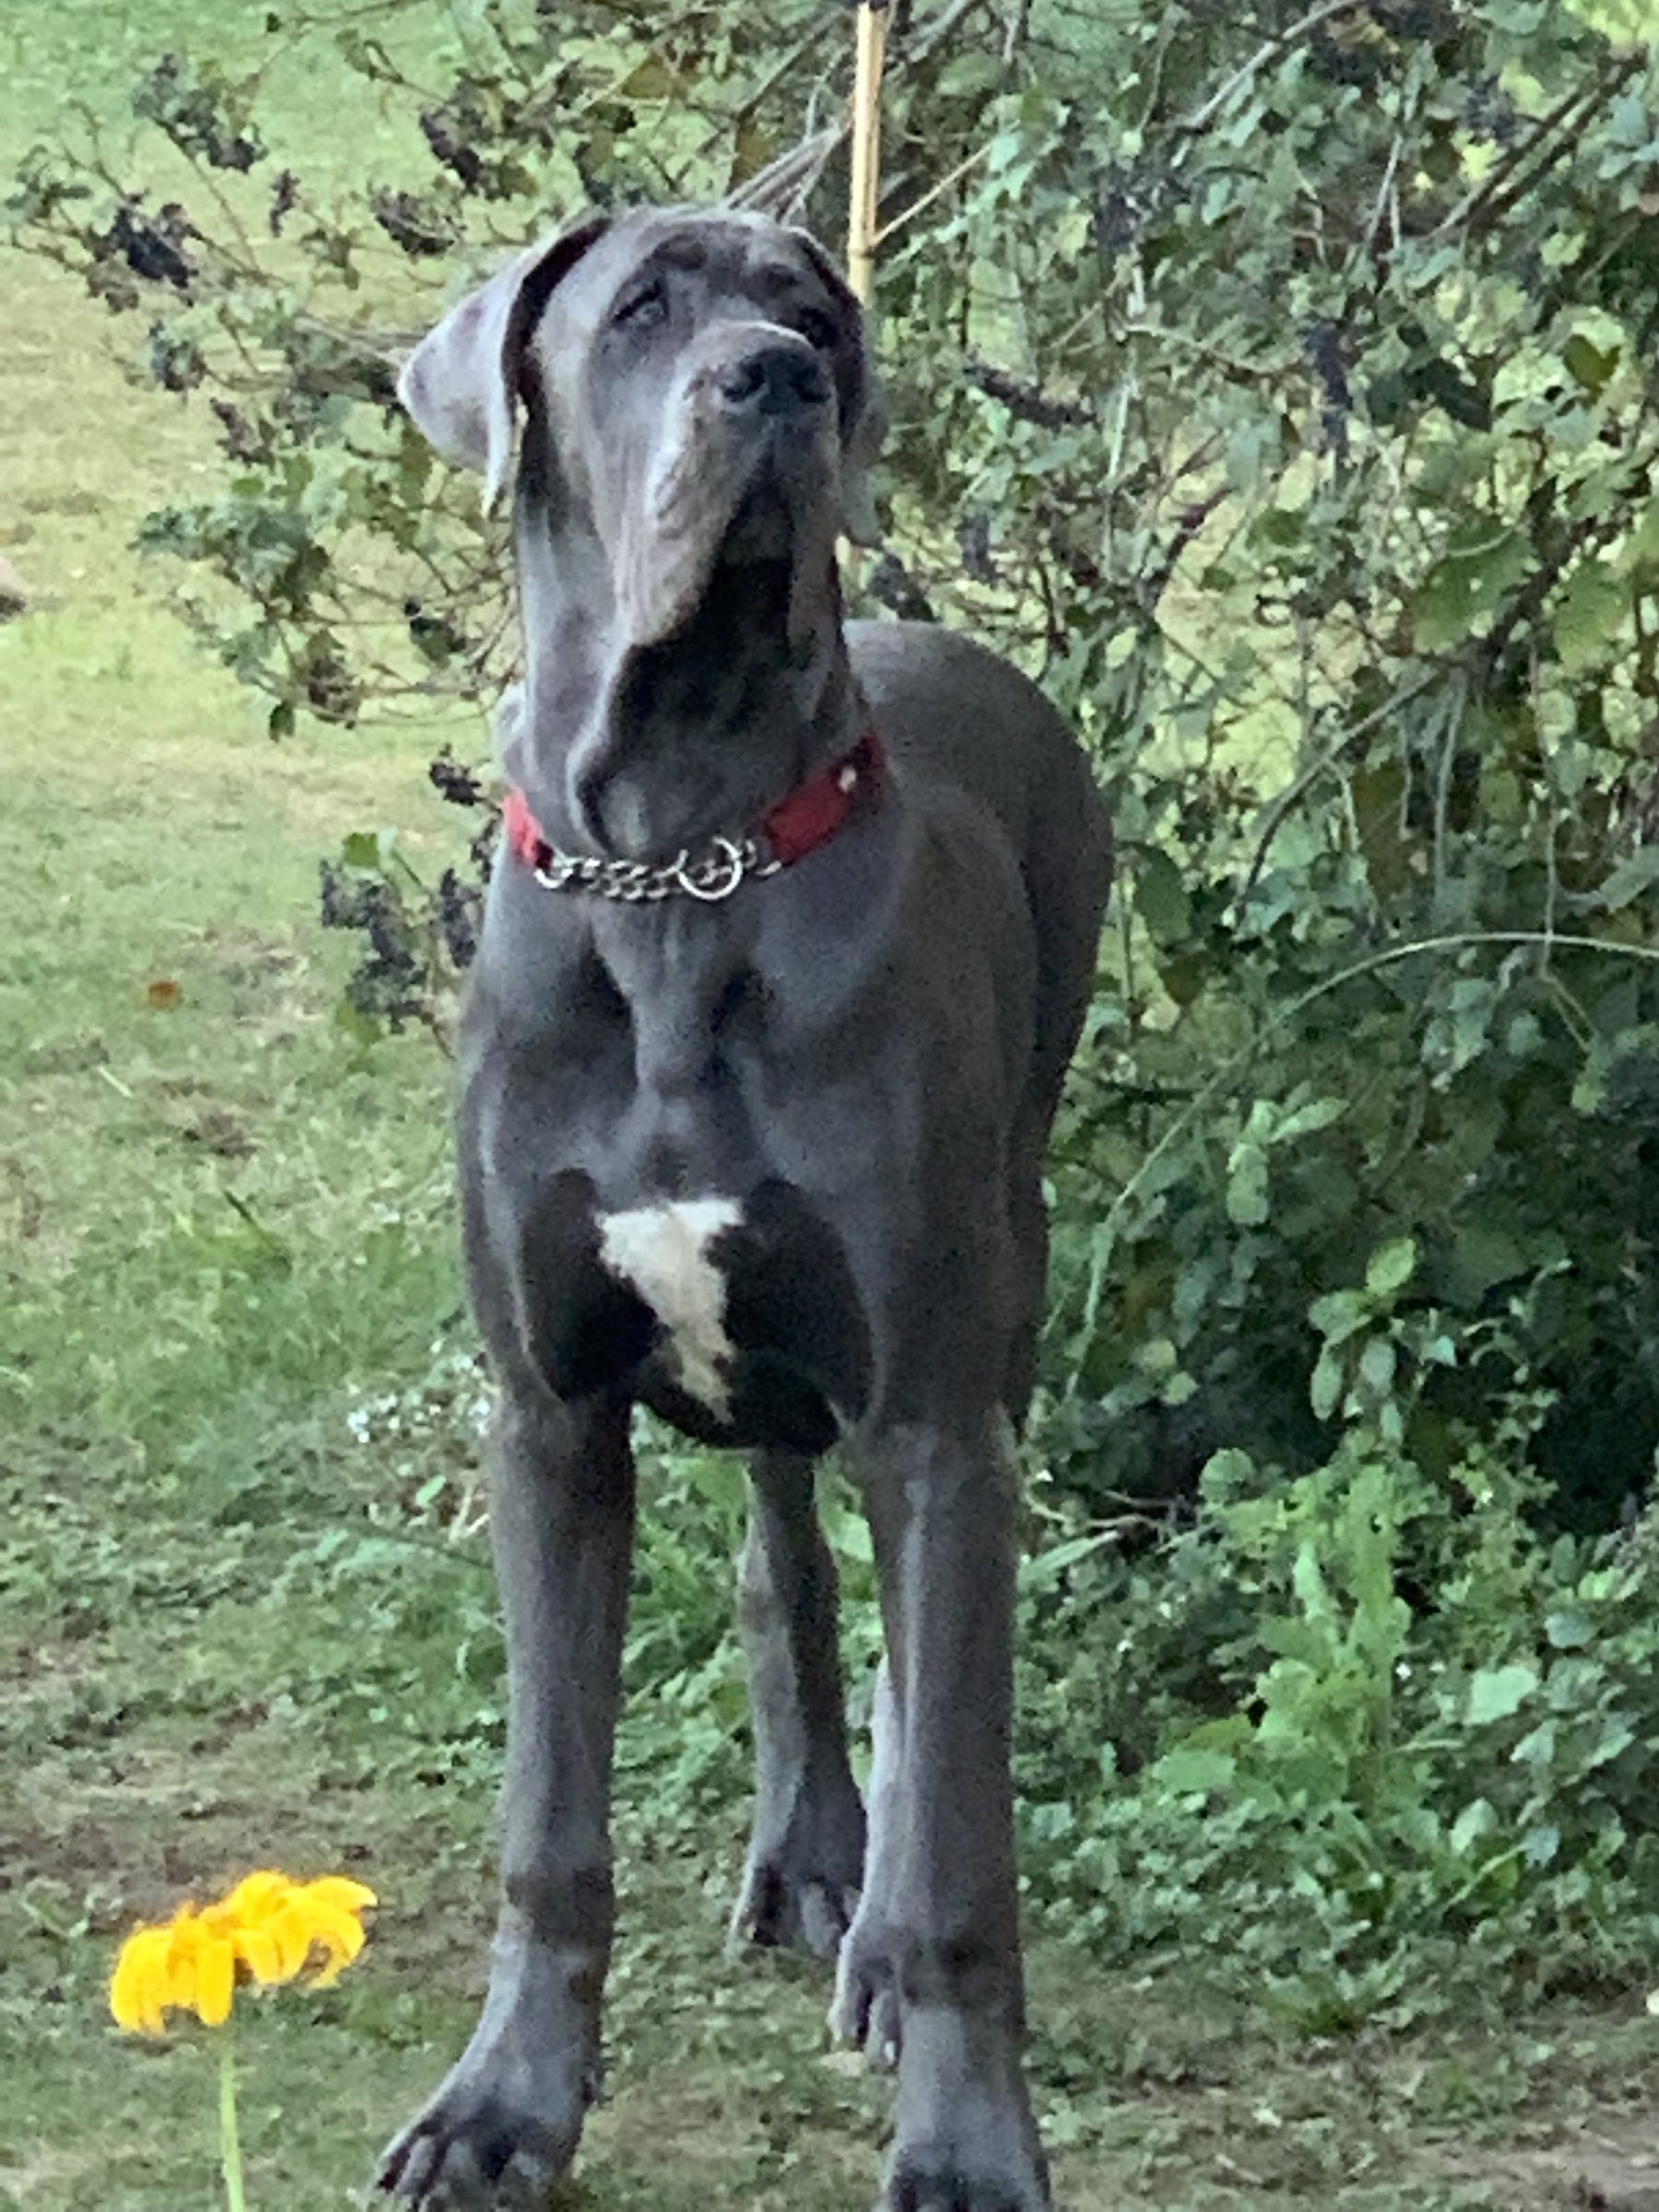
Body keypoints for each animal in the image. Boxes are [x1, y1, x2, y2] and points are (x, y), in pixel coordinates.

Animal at [376, 205, 1112, 2212]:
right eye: (639, 311)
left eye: (812, 317)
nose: (774, 380)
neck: (682, 850)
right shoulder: (547, 1421)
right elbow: (550, 1823)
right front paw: (504, 2105)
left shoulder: (930, 1416)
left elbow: (962, 1853)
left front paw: (964, 2142)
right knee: (786, 1564)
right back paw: (806, 1851)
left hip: (993, 1289)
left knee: (919, 1676)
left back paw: (865, 1925)